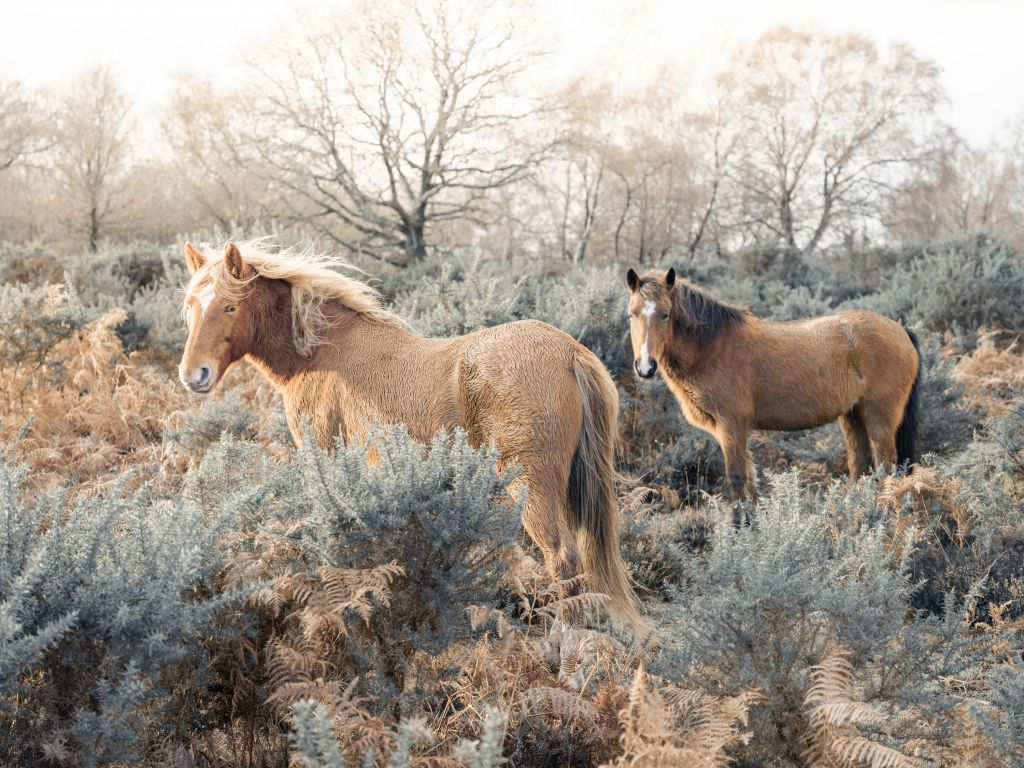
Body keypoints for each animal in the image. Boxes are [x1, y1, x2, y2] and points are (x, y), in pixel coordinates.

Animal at [176, 241, 638, 630]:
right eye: (191, 307)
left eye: (230, 306)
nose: (193, 374)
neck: (320, 352)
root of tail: (569, 352)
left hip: (532, 486)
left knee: (561, 558)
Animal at [622, 268, 921, 501]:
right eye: (631, 314)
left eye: (665, 314)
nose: (645, 367)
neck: (713, 347)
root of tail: (901, 330)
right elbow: (749, 483)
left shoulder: (732, 428)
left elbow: (737, 480)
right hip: (852, 416)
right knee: (860, 466)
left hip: (879, 421)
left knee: (886, 468)